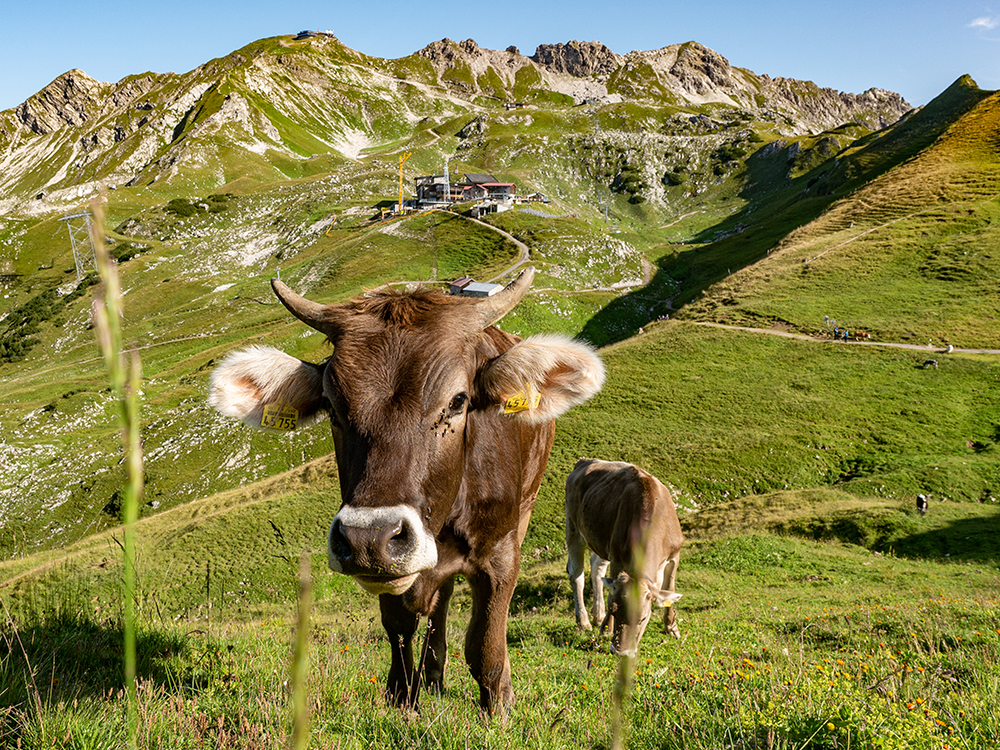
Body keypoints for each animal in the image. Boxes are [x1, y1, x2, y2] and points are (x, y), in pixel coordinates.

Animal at [207, 268, 604, 712]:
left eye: (458, 401)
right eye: (332, 406)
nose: (368, 537)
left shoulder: (501, 551)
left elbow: (485, 643)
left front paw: (498, 706)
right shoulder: (386, 570)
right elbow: (399, 628)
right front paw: (403, 696)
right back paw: (432, 675)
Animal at [568, 458, 684, 656]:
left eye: (643, 618)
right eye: (615, 612)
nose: (621, 652)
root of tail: (585, 461)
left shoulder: (674, 555)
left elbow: (670, 587)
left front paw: (671, 627)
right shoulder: (617, 559)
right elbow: (611, 591)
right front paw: (606, 628)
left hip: (601, 539)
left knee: (596, 568)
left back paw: (598, 616)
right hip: (573, 528)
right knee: (576, 575)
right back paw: (584, 622)